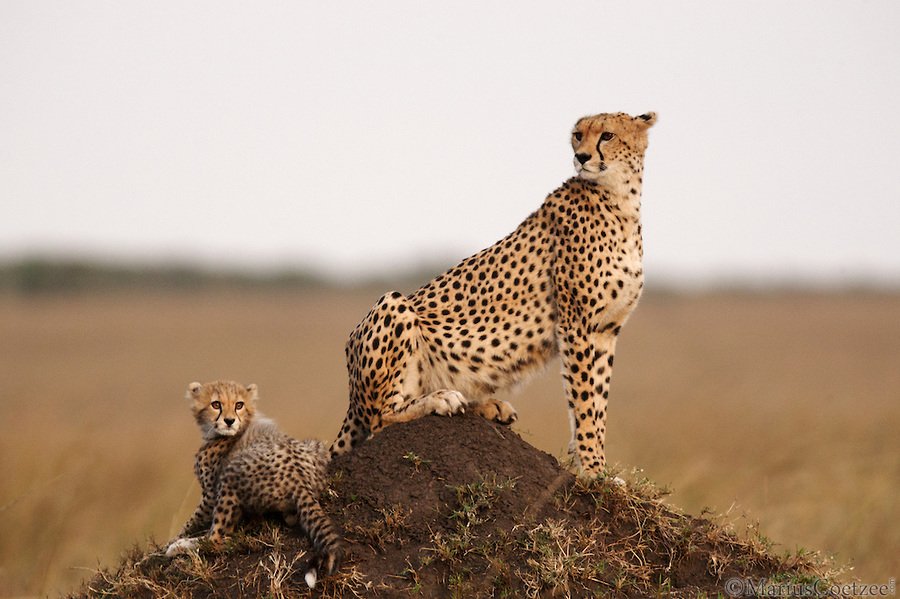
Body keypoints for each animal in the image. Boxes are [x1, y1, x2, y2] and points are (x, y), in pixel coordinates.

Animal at [334, 113, 656, 478]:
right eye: (577, 135)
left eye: (607, 135)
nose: (582, 156)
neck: (621, 199)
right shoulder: (577, 325)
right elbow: (586, 400)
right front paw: (591, 469)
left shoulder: (604, 330)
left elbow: (597, 400)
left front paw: (594, 466)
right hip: (393, 305)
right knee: (380, 419)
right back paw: (440, 399)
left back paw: (487, 406)